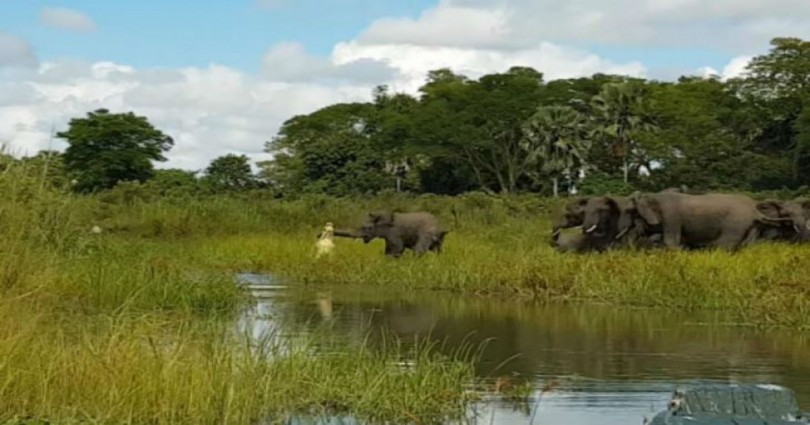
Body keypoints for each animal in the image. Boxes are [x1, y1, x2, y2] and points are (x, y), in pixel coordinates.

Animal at [620, 191, 784, 250]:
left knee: (723, 244)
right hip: (752, 225)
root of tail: (755, 210)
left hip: (735, 223)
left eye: (631, 212)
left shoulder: (671, 216)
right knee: (747, 245)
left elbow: (671, 241)